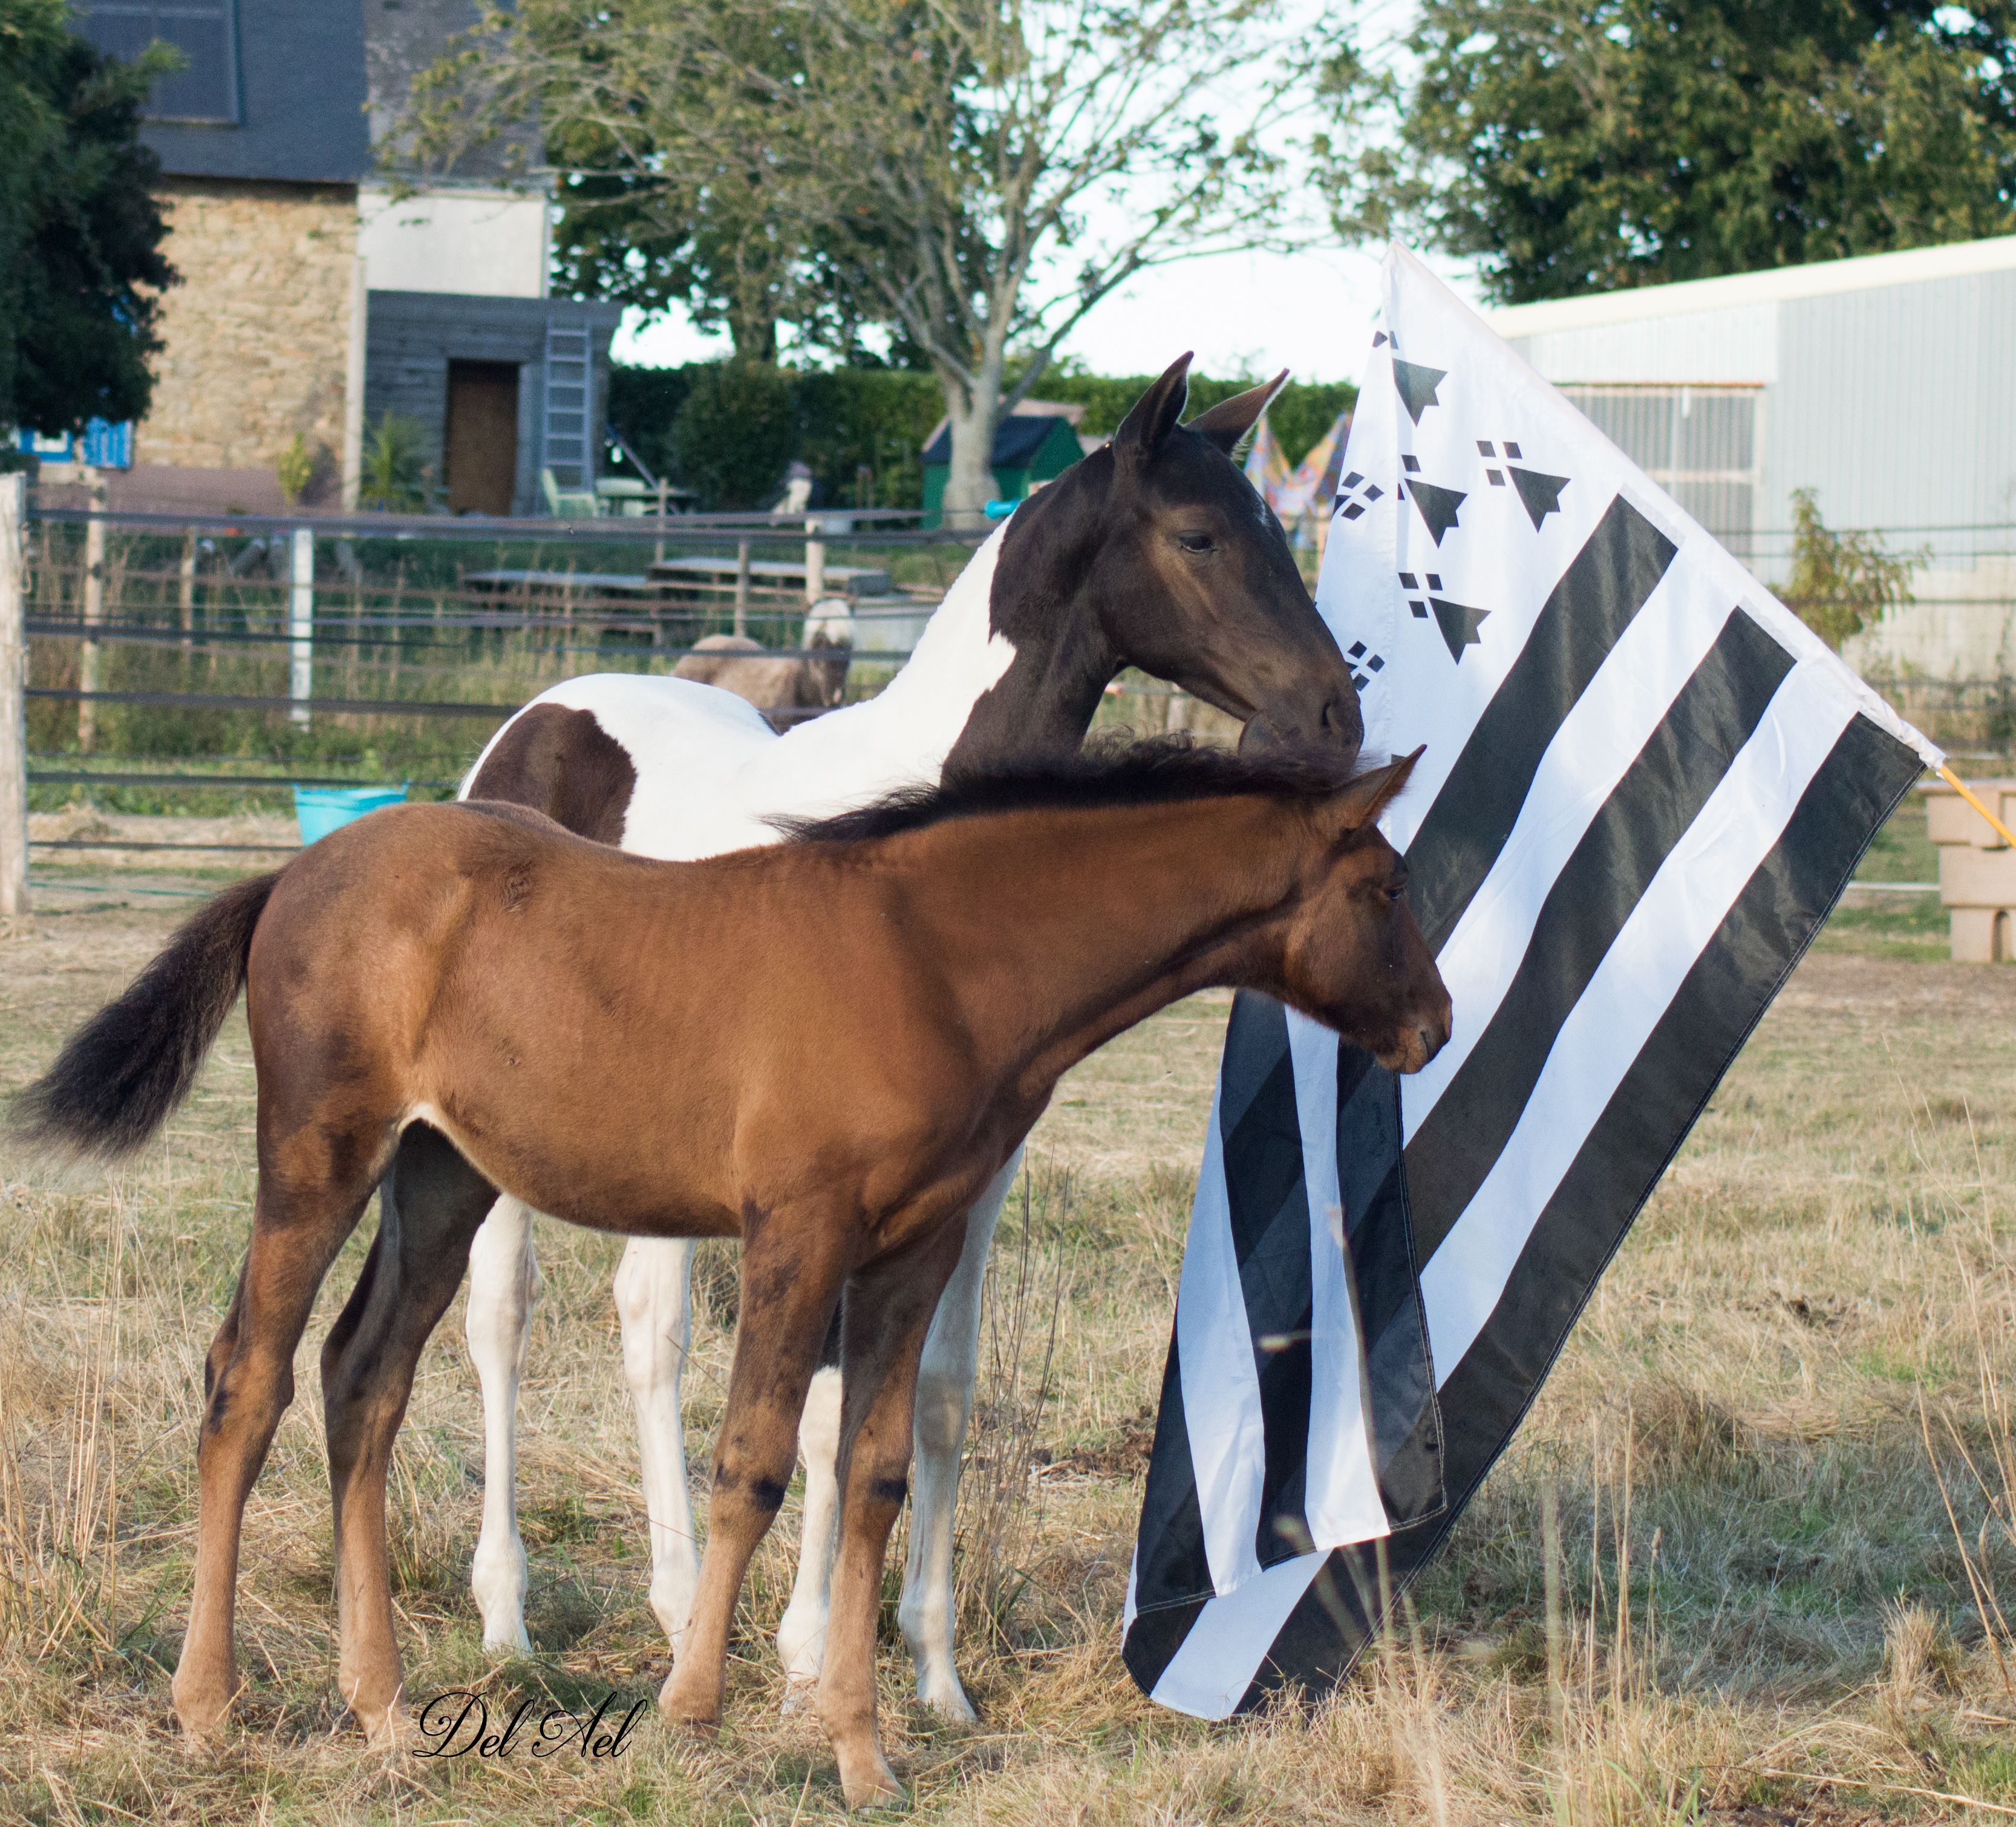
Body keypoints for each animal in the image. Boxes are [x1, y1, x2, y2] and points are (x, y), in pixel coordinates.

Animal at [8, 734, 1443, 1799]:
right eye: (1383, 889)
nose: (1431, 1026)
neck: (937, 957)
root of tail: (293, 874)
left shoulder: (913, 1248)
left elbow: (870, 1473)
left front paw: (864, 1758)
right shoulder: (796, 1231)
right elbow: (751, 1458)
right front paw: (692, 1712)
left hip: (441, 1173)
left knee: (364, 1377)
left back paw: (384, 1710)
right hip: (319, 1153)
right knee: (247, 1376)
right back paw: (208, 1706)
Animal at [459, 345, 1371, 1710]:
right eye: (1200, 535)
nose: (1332, 719)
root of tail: (539, 723)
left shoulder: (975, 1176)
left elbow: (934, 1392)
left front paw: (932, 1672)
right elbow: (824, 1407)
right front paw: (800, 1662)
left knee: (647, 1322)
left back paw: (673, 1604)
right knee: (504, 1314)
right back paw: (510, 1619)